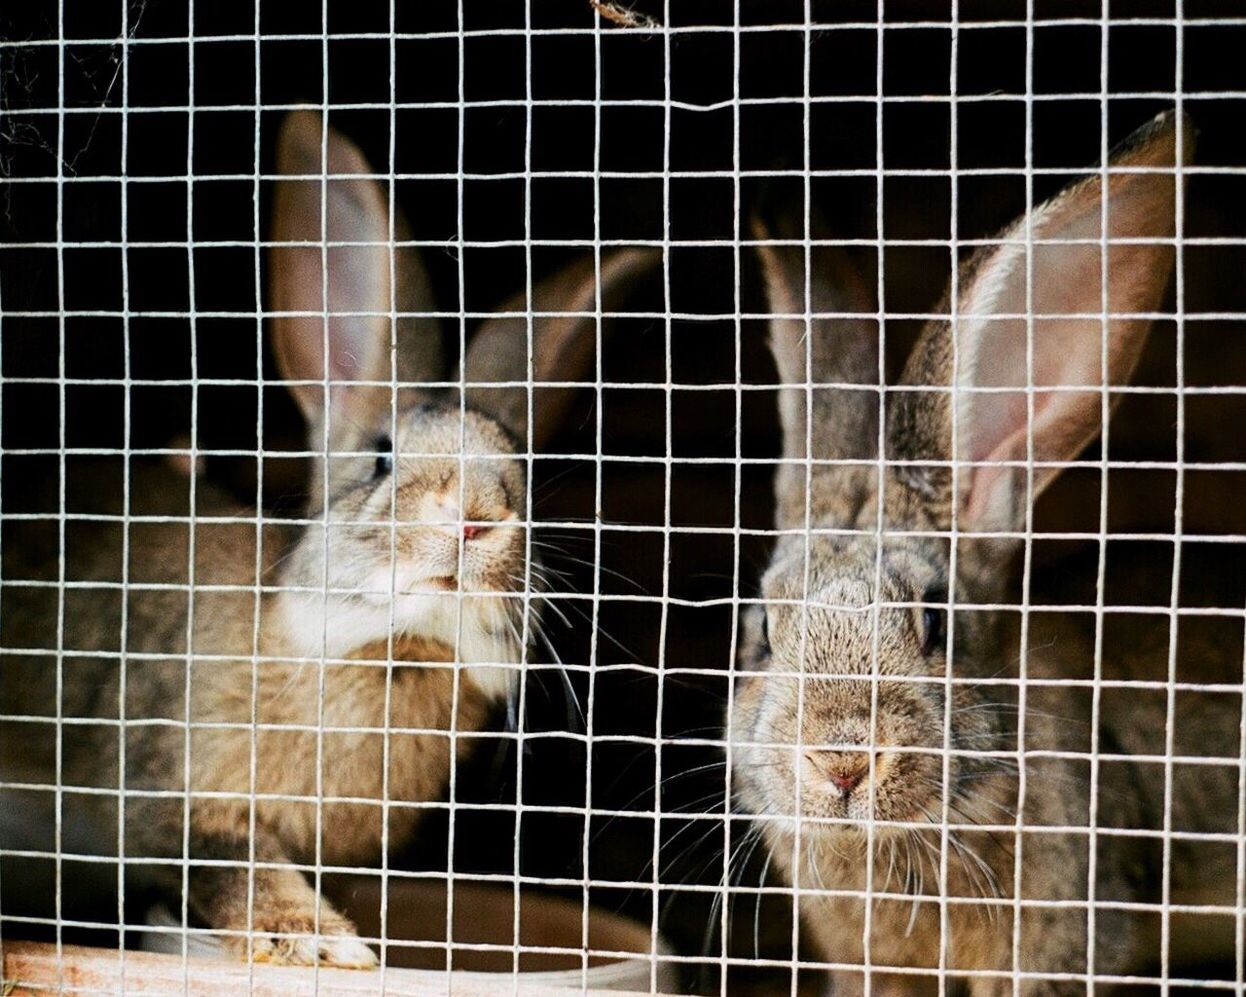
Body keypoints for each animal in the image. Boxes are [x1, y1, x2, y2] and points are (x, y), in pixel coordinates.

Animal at [0, 112, 657, 972]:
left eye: (518, 470)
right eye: (381, 454)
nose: (476, 514)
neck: (394, 645)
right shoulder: (164, 791)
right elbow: (233, 860)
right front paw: (320, 943)